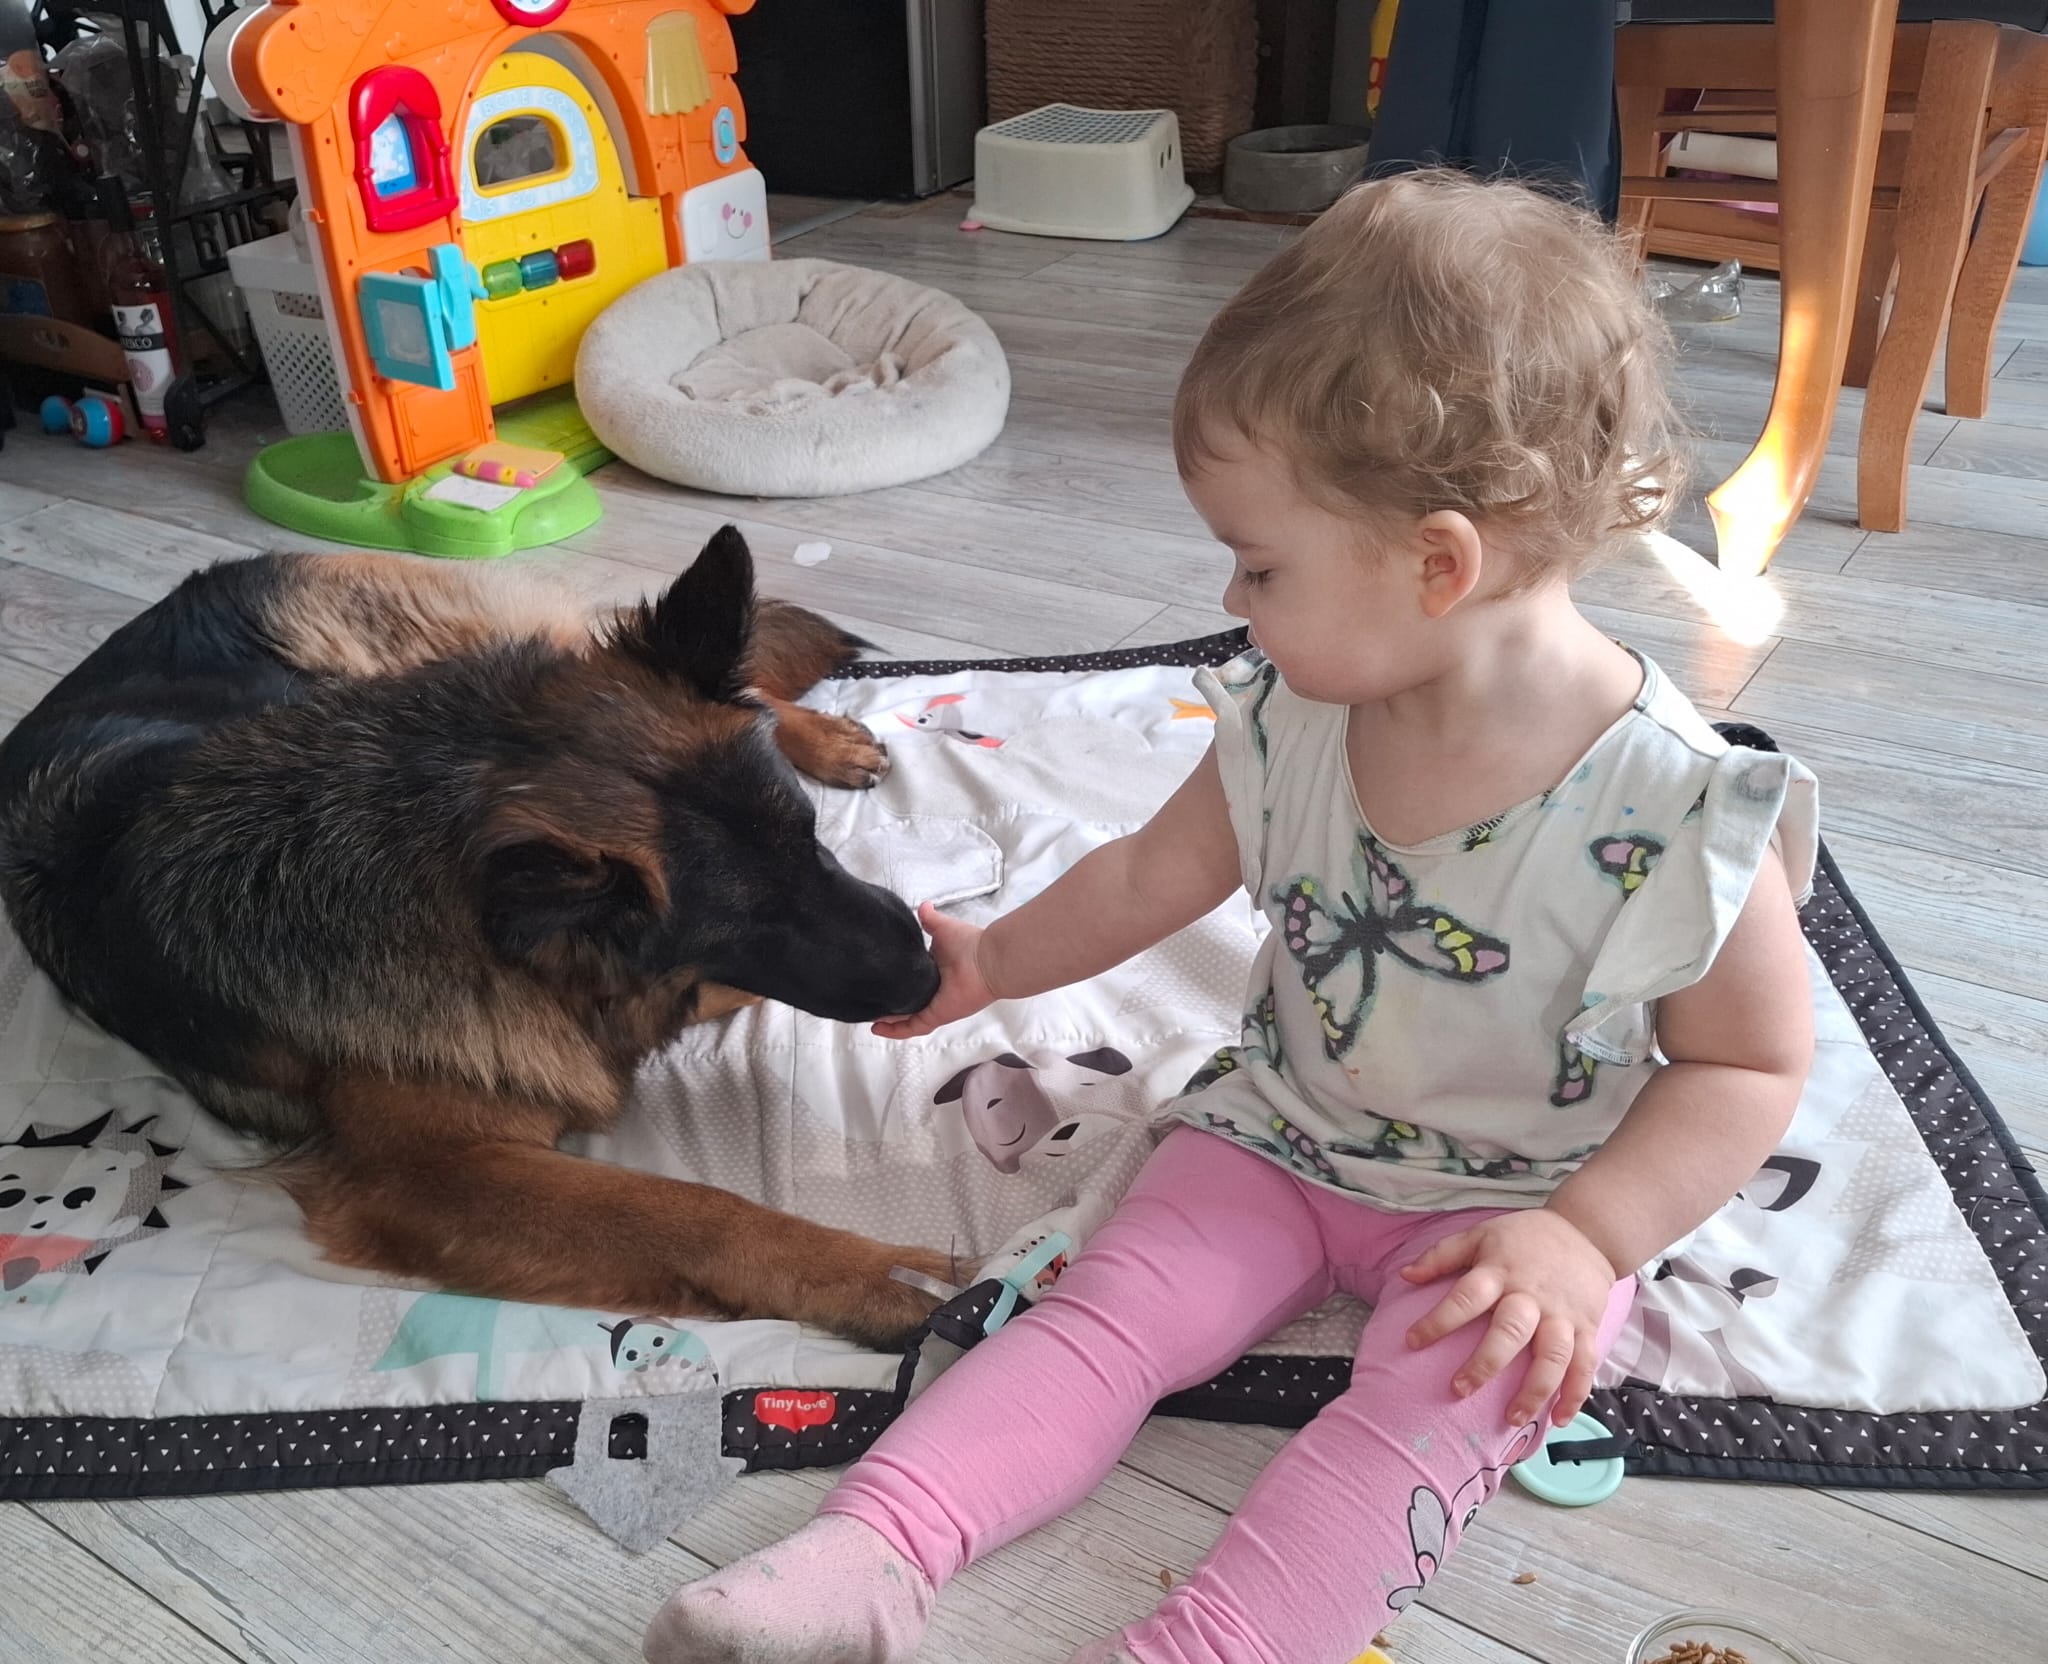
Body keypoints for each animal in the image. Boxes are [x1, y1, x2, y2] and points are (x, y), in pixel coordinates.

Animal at [0, 527, 958, 1349]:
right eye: (751, 921)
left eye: (810, 838)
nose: (924, 974)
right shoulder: (431, 1174)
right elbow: (695, 1211)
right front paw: (867, 1275)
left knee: (719, 673)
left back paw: (824, 736)